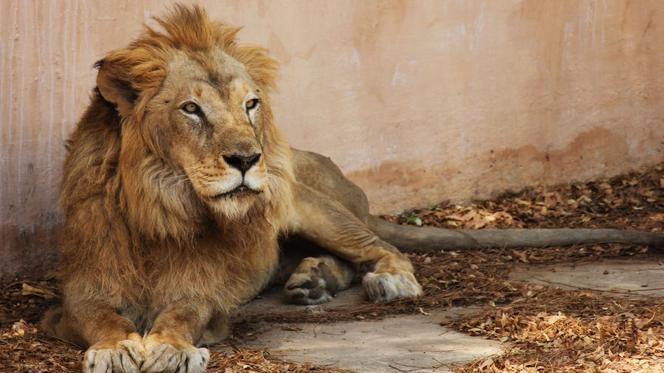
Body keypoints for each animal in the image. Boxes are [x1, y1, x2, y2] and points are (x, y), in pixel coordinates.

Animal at [44, 3, 660, 372]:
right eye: (191, 109)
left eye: (251, 105)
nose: (247, 158)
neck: (164, 207)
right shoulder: (80, 292)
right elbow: (101, 317)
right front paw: (117, 347)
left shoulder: (206, 295)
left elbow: (181, 315)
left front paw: (170, 350)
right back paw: (310, 281)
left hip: (307, 204)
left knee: (380, 248)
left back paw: (385, 283)